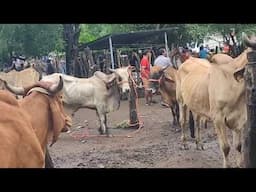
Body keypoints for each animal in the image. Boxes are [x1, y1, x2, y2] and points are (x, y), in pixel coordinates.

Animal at [176, 32, 252, 167]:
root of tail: (188, 60)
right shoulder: (218, 119)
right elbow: (226, 147)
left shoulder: (239, 118)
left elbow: (238, 146)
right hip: (181, 101)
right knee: (183, 121)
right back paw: (184, 143)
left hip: (197, 104)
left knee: (197, 122)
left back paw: (199, 143)